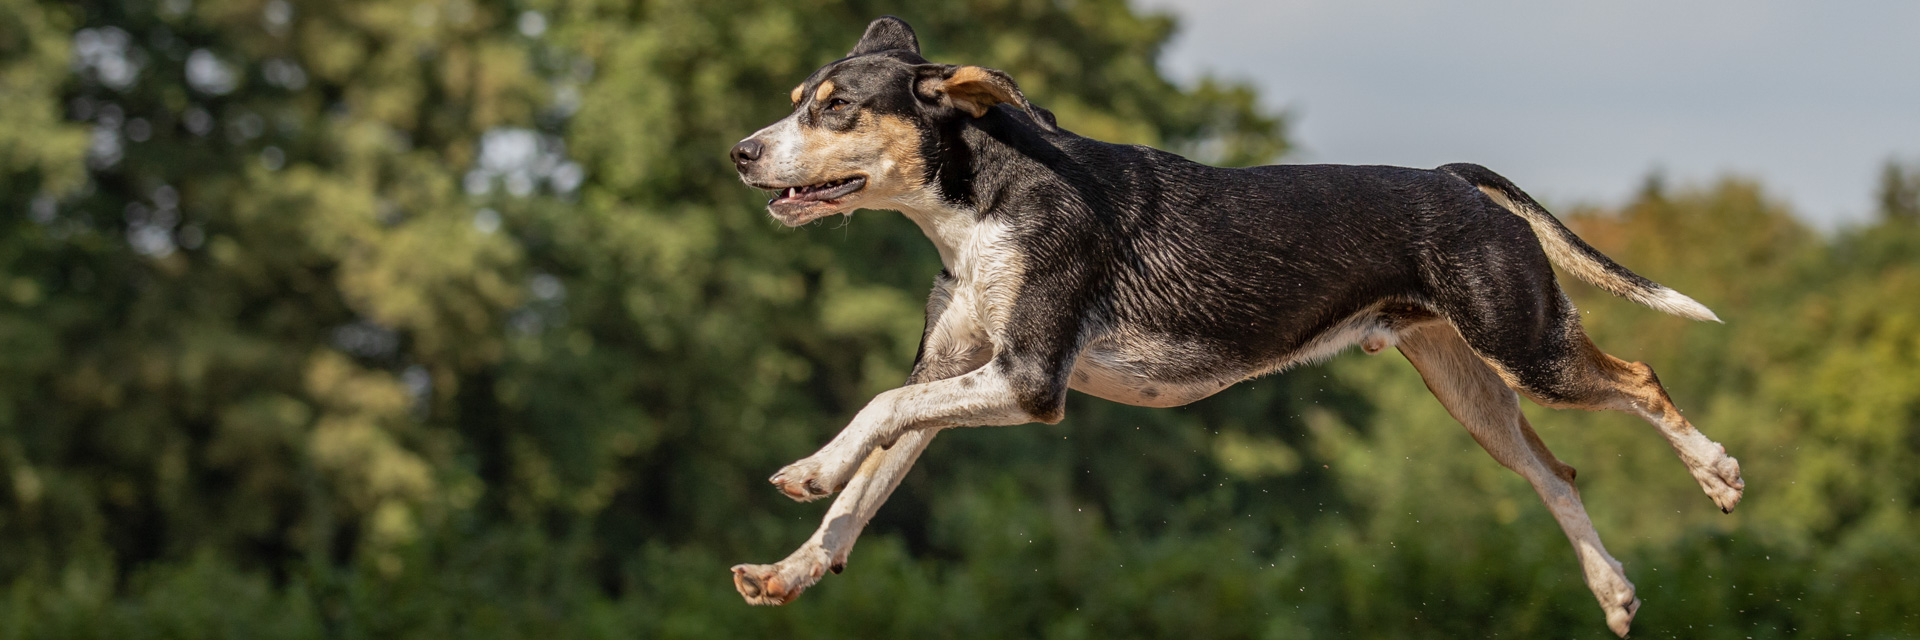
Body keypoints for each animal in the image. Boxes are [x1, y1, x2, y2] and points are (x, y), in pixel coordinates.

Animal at [727, 16, 1741, 637]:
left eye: (835, 108)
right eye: (797, 98)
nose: (741, 152)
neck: (986, 207)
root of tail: (1453, 178)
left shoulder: (1028, 380)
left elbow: (873, 413)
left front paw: (807, 468)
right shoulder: (957, 373)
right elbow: (870, 485)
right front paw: (789, 572)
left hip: (1525, 344)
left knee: (1641, 379)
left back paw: (1719, 473)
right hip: (1471, 387)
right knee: (1556, 473)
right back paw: (1614, 593)